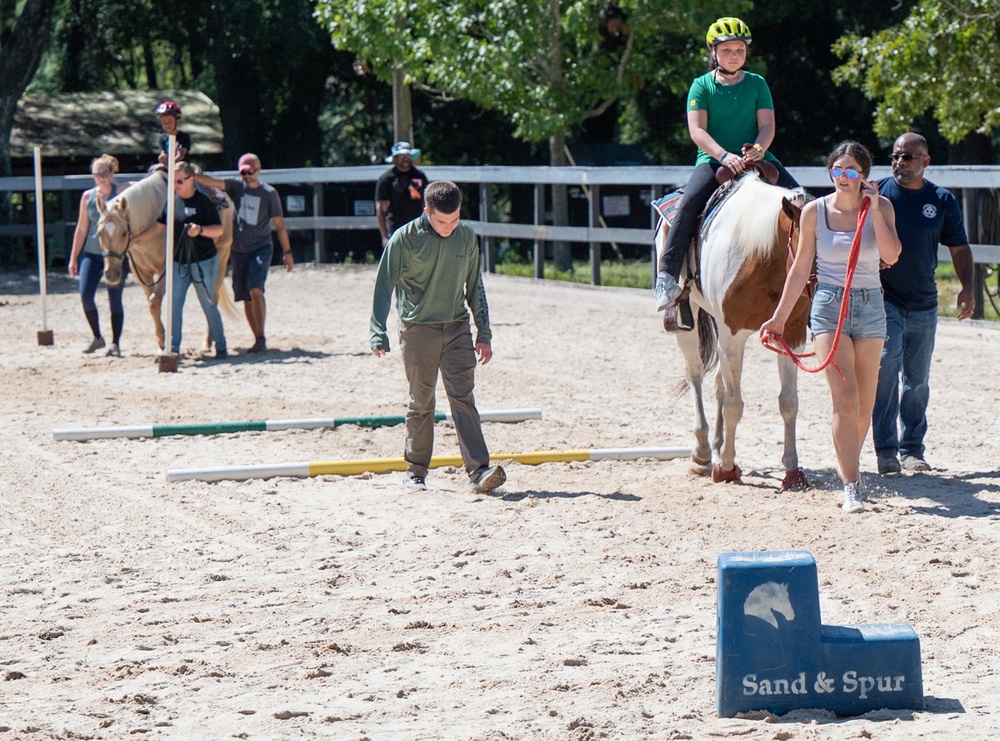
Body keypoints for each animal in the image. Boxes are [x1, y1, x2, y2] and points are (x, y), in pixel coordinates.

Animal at [97, 169, 238, 352]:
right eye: (100, 233)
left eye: (123, 233)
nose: (112, 274)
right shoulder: (141, 272)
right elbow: (152, 304)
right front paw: (161, 340)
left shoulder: (166, 269)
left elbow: (154, 301)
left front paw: (164, 342)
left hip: (222, 256)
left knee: (211, 297)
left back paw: (208, 342)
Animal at [656, 171, 812, 488]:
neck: (762, 254)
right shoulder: (732, 334)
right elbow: (734, 405)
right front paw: (727, 467)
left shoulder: (792, 333)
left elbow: (788, 401)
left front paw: (792, 470)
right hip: (689, 323)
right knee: (696, 376)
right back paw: (703, 452)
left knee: (718, 384)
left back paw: (716, 446)